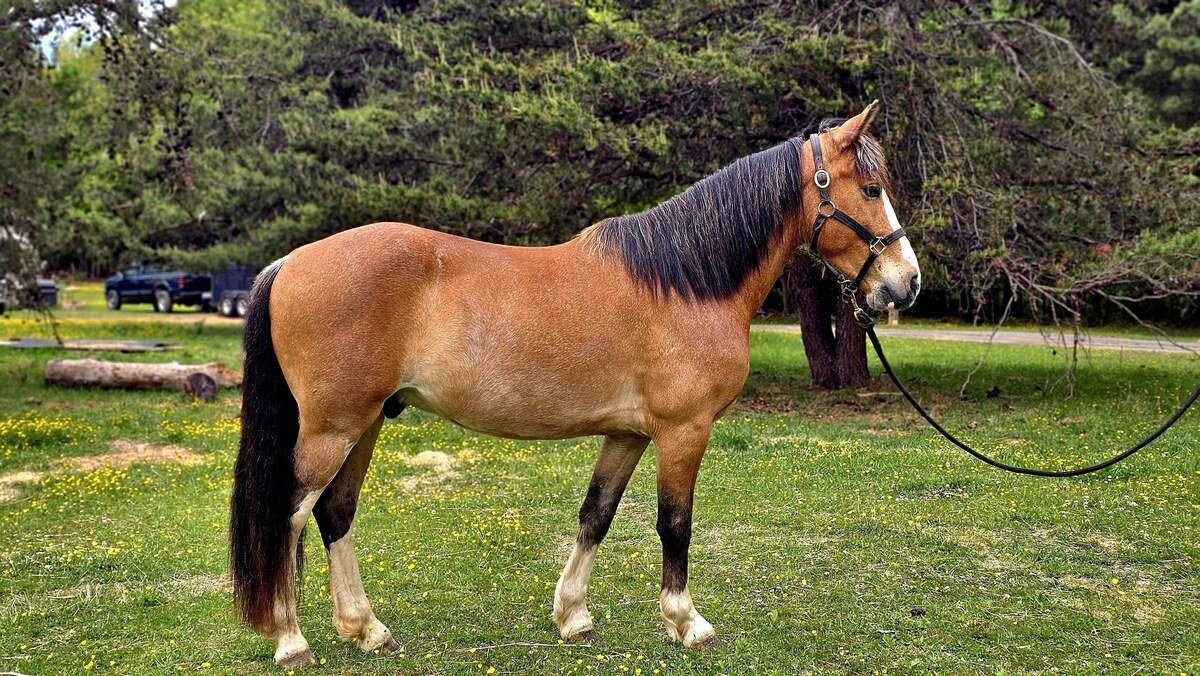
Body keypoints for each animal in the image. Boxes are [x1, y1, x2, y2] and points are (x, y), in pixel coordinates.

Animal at [229, 101, 921, 667]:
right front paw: (686, 622)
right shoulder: (683, 431)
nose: (905, 283)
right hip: (333, 428)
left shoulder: (628, 434)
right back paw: (291, 640)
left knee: (334, 513)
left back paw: (366, 629)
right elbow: (675, 523)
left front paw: (572, 616)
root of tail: (290, 262)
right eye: (869, 188)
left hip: (367, 421)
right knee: (288, 514)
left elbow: (596, 515)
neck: (686, 281)